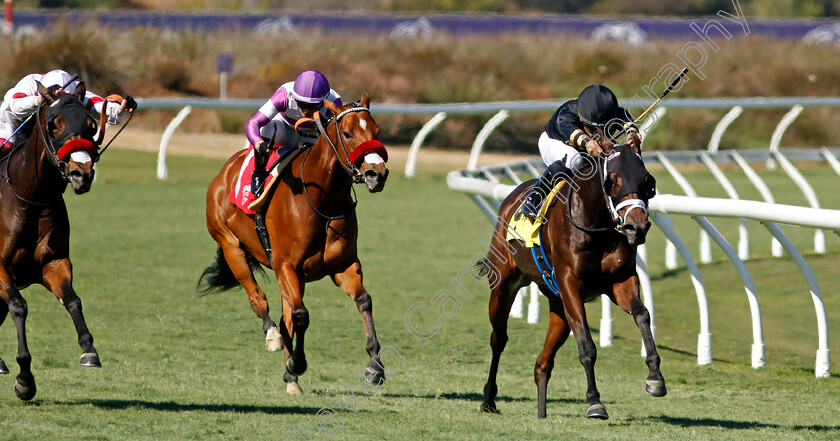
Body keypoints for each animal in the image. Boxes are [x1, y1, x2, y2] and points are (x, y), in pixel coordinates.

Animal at [0, 81, 108, 398]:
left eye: (91, 125)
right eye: (54, 124)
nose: (81, 174)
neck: (30, 197)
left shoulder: (54, 262)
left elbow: (72, 300)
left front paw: (88, 349)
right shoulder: (0, 270)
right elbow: (19, 306)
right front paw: (24, 378)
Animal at [200, 93, 390, 396]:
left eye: (377, 131)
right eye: (348, 133)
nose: (376, 174)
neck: (323, 200)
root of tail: (225, 169)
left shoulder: (343, 265)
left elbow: (364, 300)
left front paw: (375, 365)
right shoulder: (286, 265)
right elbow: (300, 316)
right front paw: (298, 363)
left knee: (285, 314)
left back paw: (290, 376)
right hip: (231, 245)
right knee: (259, 299)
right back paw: (273, 337)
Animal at [480, 143, 664, 418]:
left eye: (647, 181)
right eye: (612, 181)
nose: (637, 227)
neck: (597, 226)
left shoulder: (620, 281)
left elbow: (642, 315)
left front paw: (655, 377)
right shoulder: (570, 285)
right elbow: (587, 346)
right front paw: (595, 401)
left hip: (558, 304)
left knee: (543, 362)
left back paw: (541, 411)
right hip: (503, 284)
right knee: (499, 339)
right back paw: (489, 399)